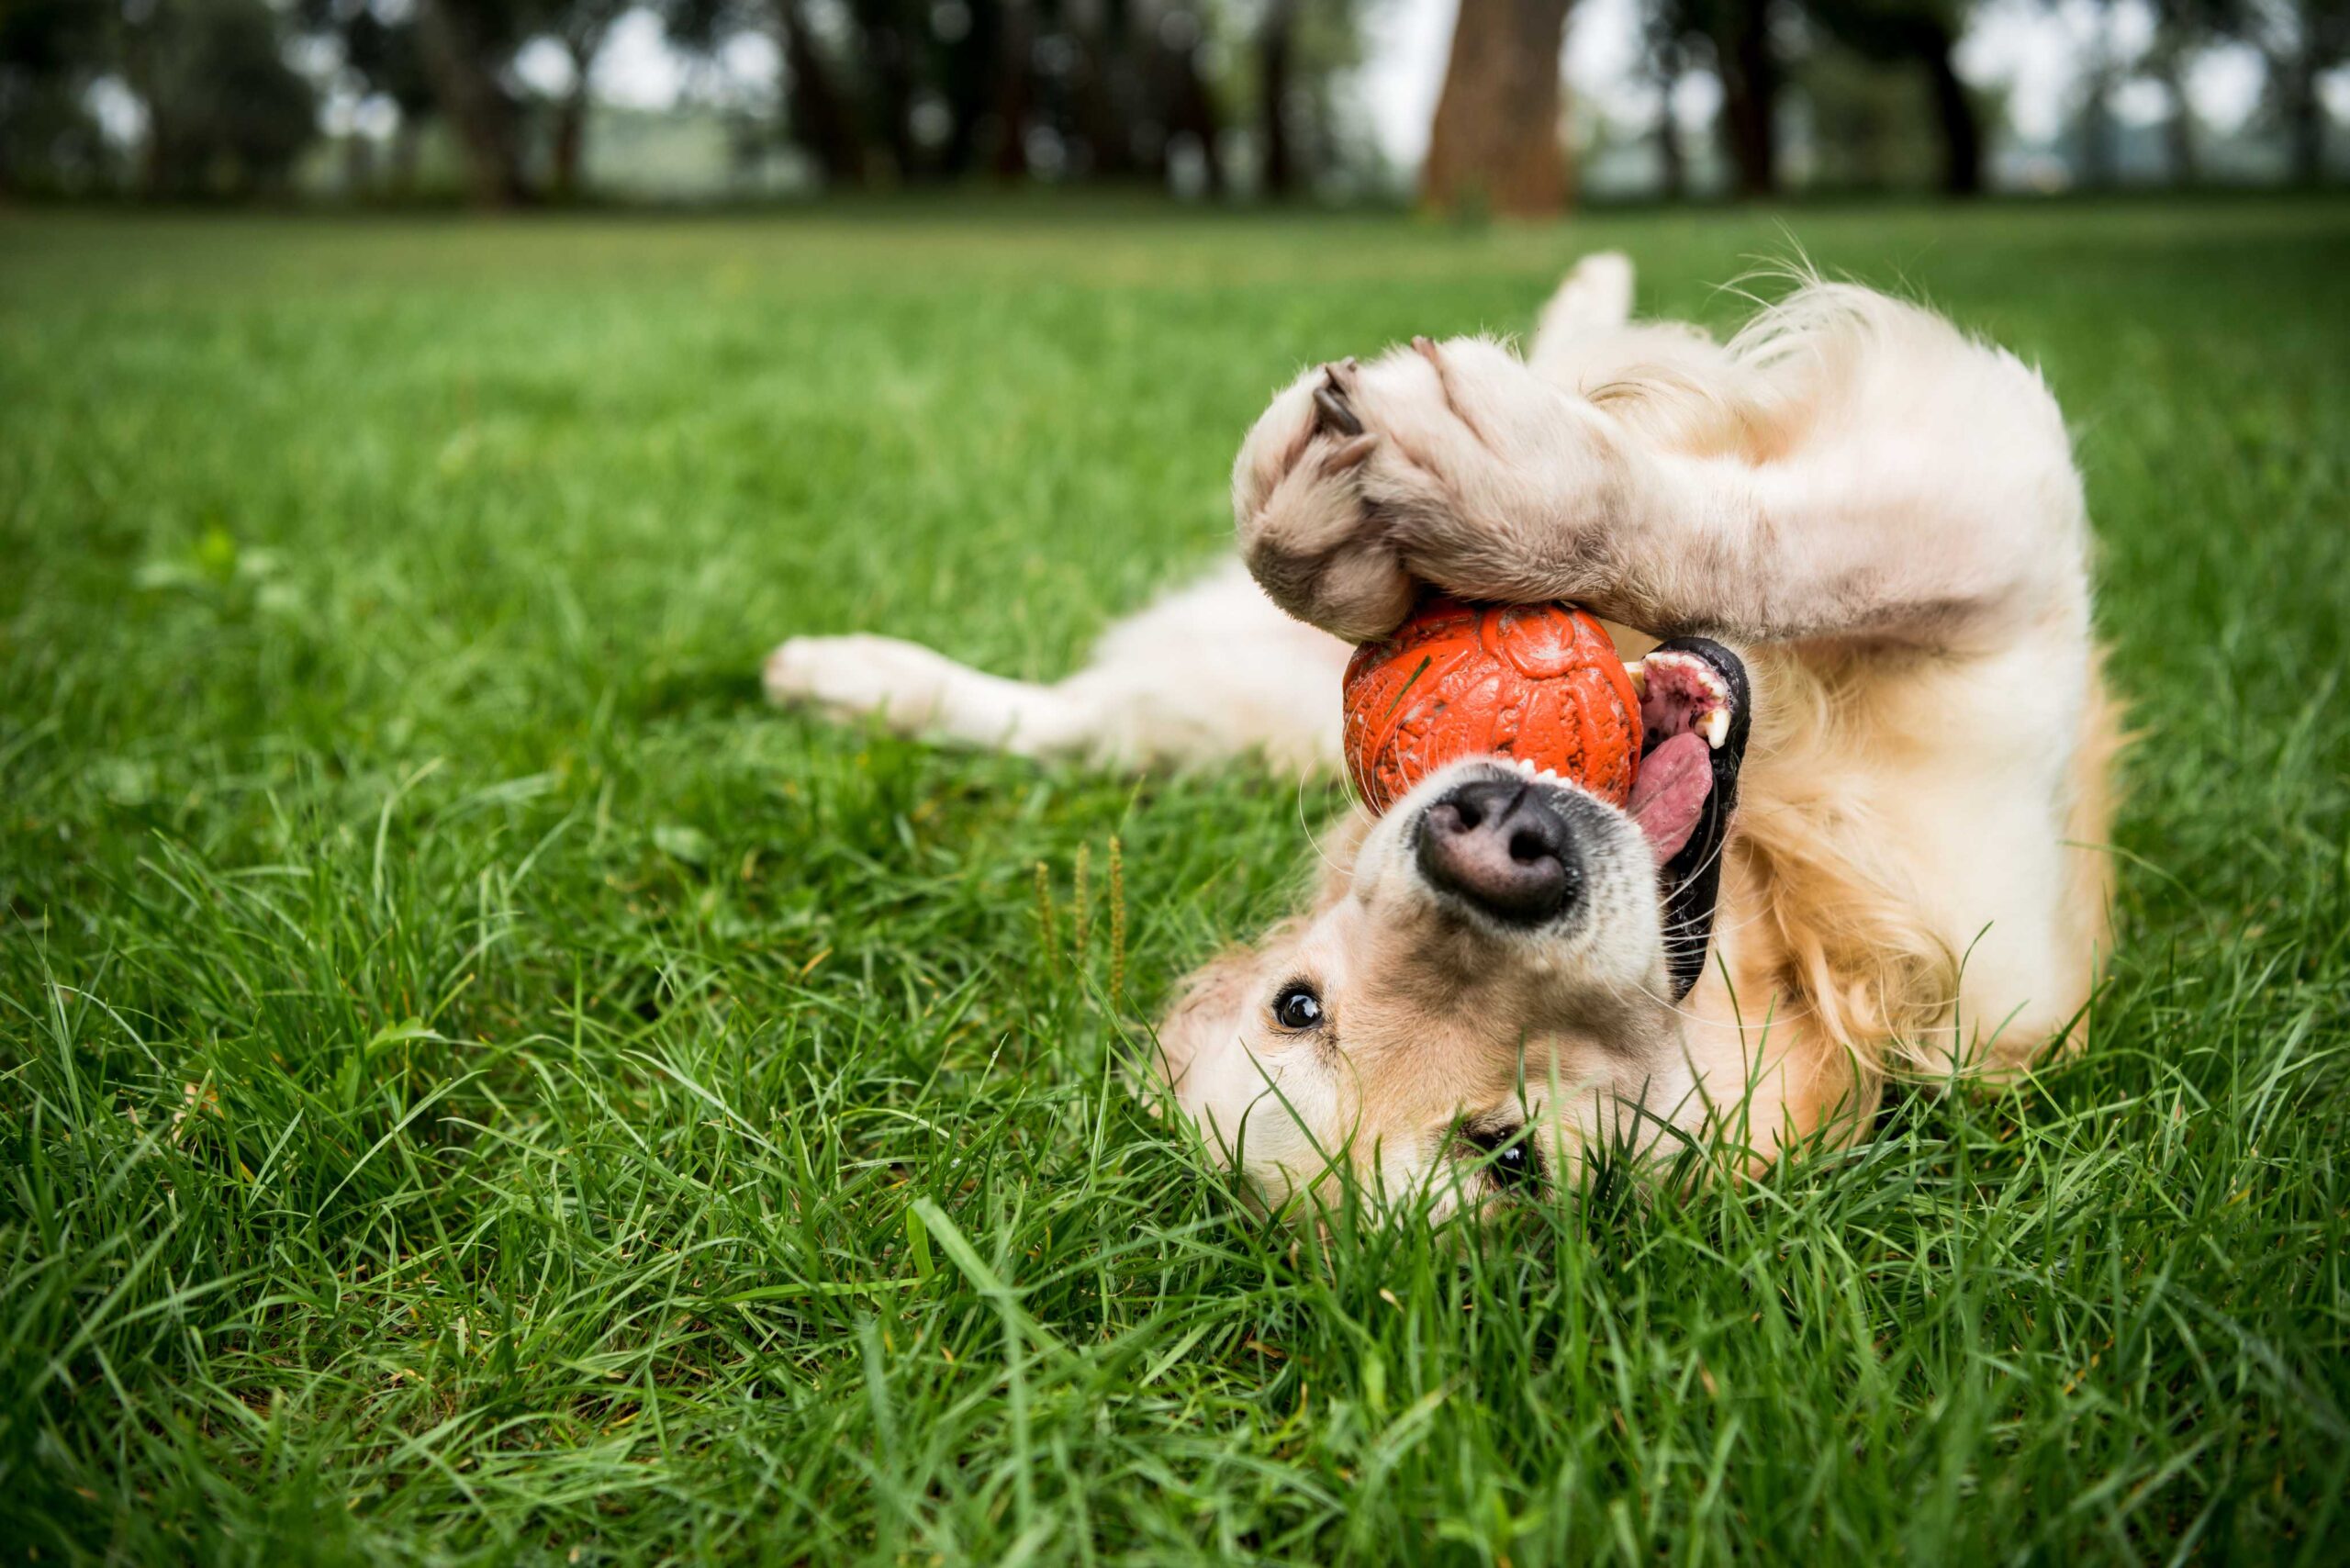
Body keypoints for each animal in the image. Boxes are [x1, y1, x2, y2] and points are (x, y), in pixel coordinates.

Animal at [761, 254, 2124, 1213]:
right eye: (1303, 1005)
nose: (1494, 841)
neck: (1779, 906)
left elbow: (1775, 538)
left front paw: (1472, 495)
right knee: (1080, 721)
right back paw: (844, 679)